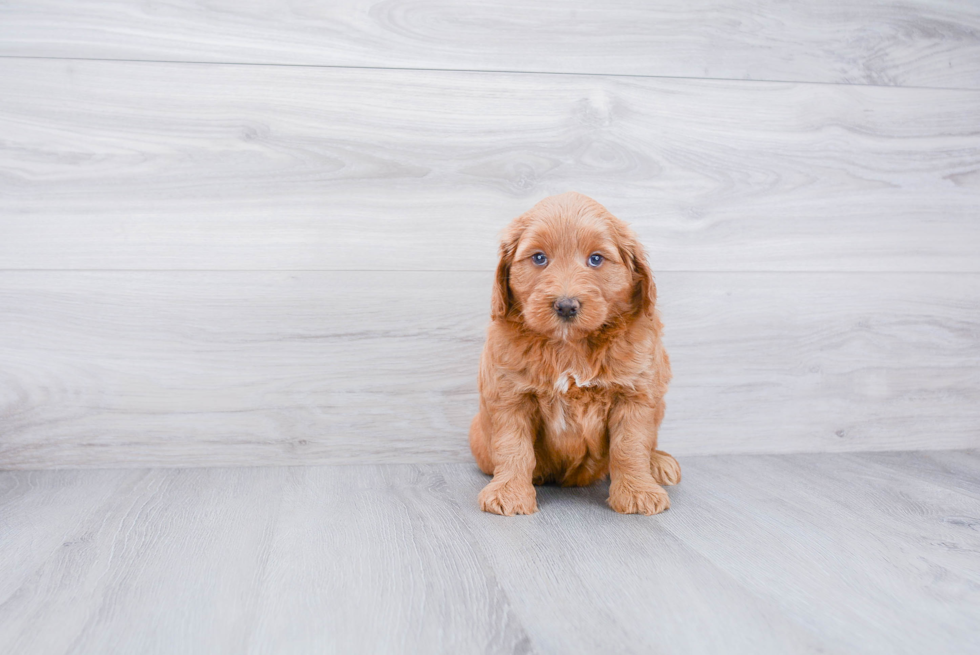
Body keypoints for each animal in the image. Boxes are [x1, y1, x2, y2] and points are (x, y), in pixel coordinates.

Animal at [470, 192, 676, 516]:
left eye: (596, 259)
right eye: (539, 258)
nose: (566, 306)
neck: (570, 347)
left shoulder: (636, 393)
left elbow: (630, 446)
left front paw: (638, 492)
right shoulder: (509, 395)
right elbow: (513, 446)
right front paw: (509, 493)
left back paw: (658, 462)